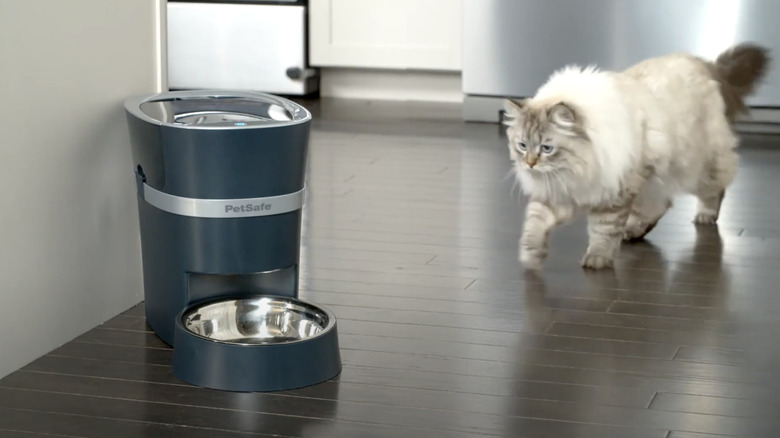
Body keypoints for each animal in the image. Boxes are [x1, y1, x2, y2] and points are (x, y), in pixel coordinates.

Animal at [506, 44, 768, 270]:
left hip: (697, 167)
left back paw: (704, 216)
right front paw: (531, 256)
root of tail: (705, 64)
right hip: (653, 181)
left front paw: (597, 260)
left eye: (546, 148)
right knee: (659, 205)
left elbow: (603, 231)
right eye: (522, 146)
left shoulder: (614, 194)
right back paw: (633, 232)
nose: (530, 164)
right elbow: (535, 224)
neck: (578, 165)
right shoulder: (556, 193)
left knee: (714, 191)